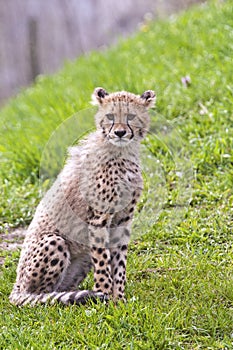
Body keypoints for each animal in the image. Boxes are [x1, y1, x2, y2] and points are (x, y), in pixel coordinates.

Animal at [9, 88, 155, 306]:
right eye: (110, 117)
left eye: (130, 116)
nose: (120, 132)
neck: (122, 152)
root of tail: (16, 287)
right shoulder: (98, 219)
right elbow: (103, 263)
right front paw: (105, 297)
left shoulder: (123, 219)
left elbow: (119, 263)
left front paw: (119, 299)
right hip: (54, 241)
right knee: (38, 295)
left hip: (84, 255)